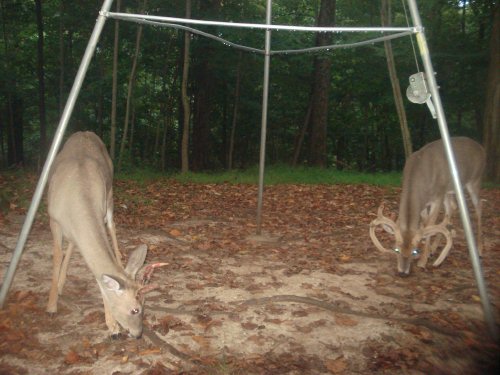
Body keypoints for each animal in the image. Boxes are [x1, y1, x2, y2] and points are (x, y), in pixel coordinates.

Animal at [46, 131, 166, 338]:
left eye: (145, 303)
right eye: (135, 309)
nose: (138, 334)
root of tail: (85, 132)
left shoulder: (99, 213)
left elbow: (100, 275)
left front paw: (112, 326)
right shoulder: (54, 219)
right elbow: (57, 258)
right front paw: (51, 306)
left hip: (109, 196)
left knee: (112, 228)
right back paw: (60, 286)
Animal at [370, 137, 482, 278]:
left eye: (414, 251)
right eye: (396, 249)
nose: (403, 273)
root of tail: (480, 147)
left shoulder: (437, 198)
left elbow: (429, 225)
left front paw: (422, 261)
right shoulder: (424, 203)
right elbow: (424, 223)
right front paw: (427, 251)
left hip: (474, 180)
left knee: (479, 207)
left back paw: (479, 249)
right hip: (449, 190)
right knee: (452, 207)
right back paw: (435, 247)